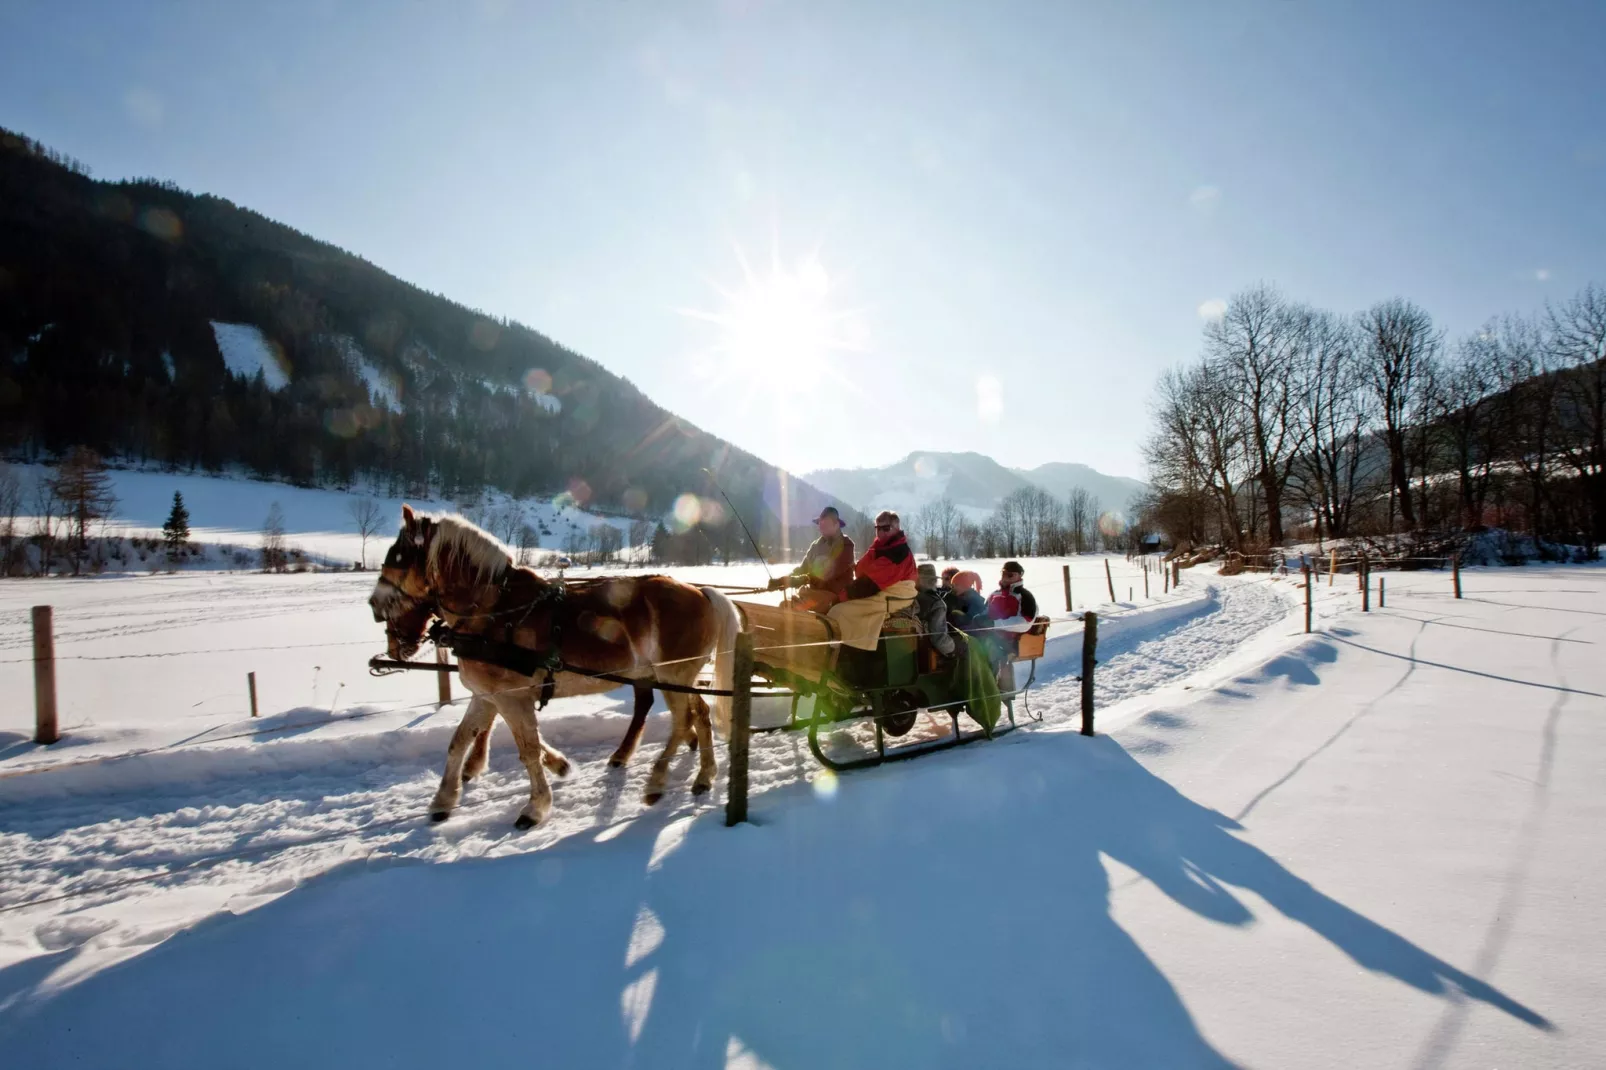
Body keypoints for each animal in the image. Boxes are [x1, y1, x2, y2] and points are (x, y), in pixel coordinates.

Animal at [369, 504, 738, 829]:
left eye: (400, 557)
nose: (374, 606)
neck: (495, 612)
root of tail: (701, 592)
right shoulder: (486, 696)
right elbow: (459, 742)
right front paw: (443, 801)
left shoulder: (512, 697)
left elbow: (528, 750)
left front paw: (535, 808)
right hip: (674, 676)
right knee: (698, 714)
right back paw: (702, 775)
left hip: (674, 673)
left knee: (684, 719)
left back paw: (659, 782)